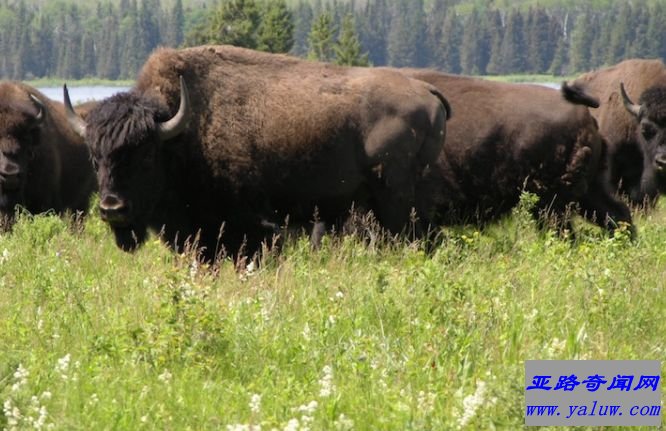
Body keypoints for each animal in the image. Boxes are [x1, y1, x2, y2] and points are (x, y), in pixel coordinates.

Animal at [65, 44, 448, 260]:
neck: (182, 132)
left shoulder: (250, 228)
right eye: (95, 158)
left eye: (145, 156)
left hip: (395, 202)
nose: (112, 209)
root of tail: (426, 91)